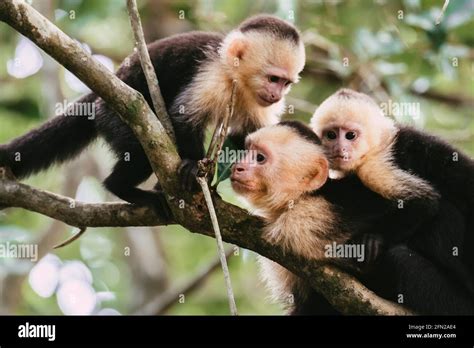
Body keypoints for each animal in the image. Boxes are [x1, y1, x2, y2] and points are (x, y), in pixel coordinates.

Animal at [0, 15, 304, 218]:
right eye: (273, 78)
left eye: (286, 83)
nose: (277, 94)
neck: (238, 80)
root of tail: (101, 94)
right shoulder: (212, 74)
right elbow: (184, 119)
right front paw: (193, 168)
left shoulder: (259, 104)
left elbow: (250, 138)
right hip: (113, 116)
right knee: (140, 152)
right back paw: (125, 188)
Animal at [231, 121, 474, 316]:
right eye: (247, 152)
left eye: (260, 158)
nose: (237, 167)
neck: (302, 198)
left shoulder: (307, 221)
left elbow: (422, 203)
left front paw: (368, 247)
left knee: (403, 256)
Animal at [310, 88, 474, 298]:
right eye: (330, 135)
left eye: (350, 135)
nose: (339, 148)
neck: (377, 146)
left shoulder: (374, 167)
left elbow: (423, 202)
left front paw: (374, 241)